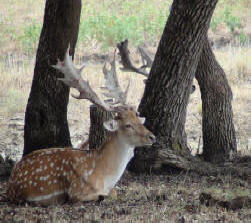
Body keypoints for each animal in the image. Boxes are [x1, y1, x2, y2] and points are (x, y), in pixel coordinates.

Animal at [7, 46, 155, 206]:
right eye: (128, 125)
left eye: (139, 120)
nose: (152, 137)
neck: (104, 175)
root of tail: (10, 183)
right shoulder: (77, 191)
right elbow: (105, 195)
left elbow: (114, 192)